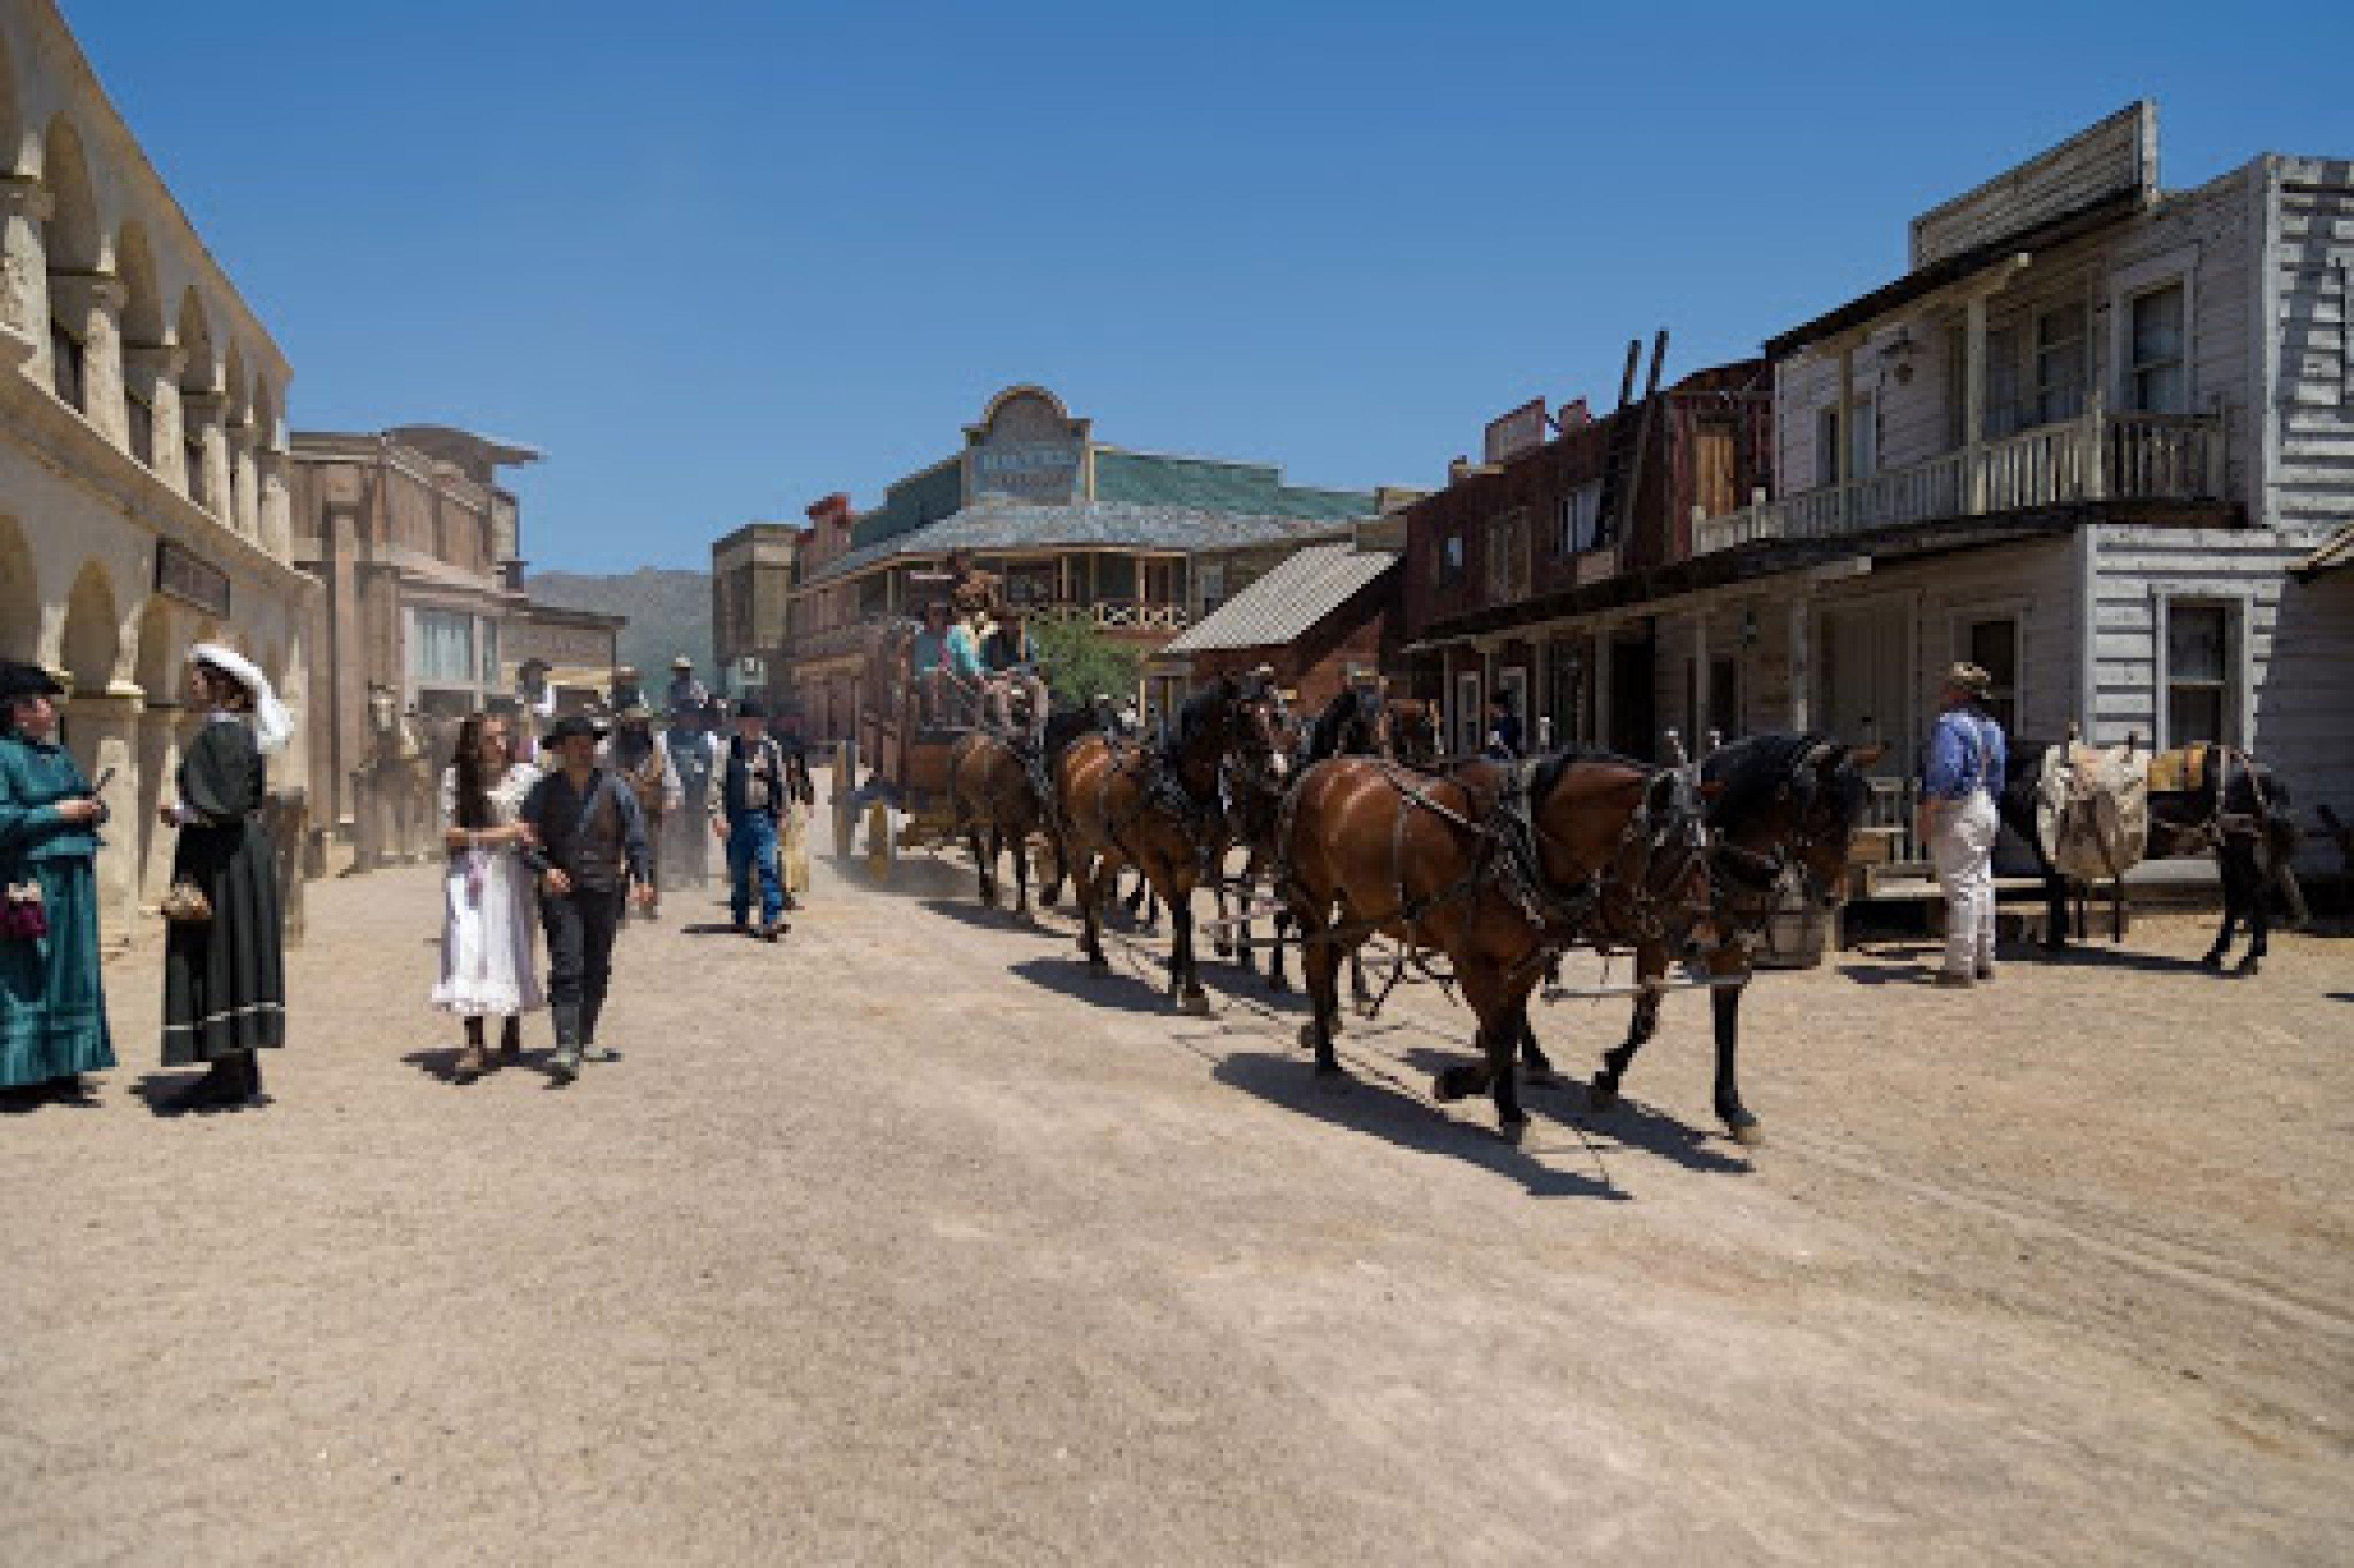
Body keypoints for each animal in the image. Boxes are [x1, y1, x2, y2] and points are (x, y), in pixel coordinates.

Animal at [1064, 664, 1299, 1007]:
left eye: (1276, 716)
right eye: (1244, 715)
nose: (1277, 770)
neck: (1179, 784)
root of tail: (1081, 745)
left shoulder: (1189, 860)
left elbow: (1183, 913)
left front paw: (1179, 977)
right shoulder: (1155, 860)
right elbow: (1182, 915)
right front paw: (1193, 988)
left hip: (1114, 850)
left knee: (1096, 892)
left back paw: (1099, 952)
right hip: (1077, 842)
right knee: (1084, 891)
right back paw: (1094, 956)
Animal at [1280, 748, 1723, 1135]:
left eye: (1709, 847)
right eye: (1668, 846)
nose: (1703, 943)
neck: (1511, 844)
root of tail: (1320, 770)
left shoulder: (1528, 961)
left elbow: (1506, 1035)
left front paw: (1508, 1108)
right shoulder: (1472, 961)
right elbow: (1497, 1039)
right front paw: (1455, 1085)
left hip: (1365, 908)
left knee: (1333, 955)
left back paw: (1325, 1026)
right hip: (1313, 899)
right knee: (1316, 961)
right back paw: (1327, 1060)